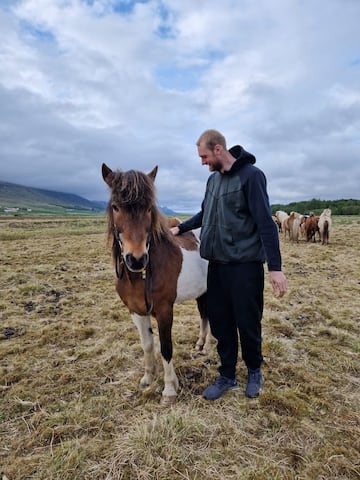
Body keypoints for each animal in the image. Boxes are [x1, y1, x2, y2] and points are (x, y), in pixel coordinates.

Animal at [101, 163, 210, 404]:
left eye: (149, 209)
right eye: (115, 207)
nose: (136, 259)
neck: (140, 275)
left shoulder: (164, 310)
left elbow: (166, 348)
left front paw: (169, 388)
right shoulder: (136, 311)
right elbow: (148, 345)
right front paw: (148, 378)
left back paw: (207, 346)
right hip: (203, 292)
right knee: (204, 315)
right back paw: (200, 344)